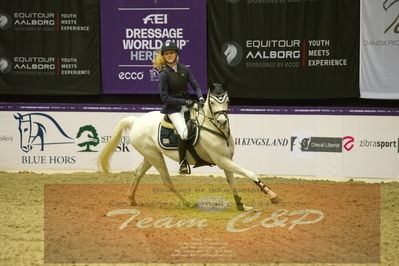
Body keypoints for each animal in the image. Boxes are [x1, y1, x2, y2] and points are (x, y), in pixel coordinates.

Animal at [98, 87, 280, 210]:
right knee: (167, 181)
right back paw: (187, 202)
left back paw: (131, 199)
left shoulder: (227, 161)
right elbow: (250, 173)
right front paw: (272, 195)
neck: (215, 129)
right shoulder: (222, 161)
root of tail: (136, 121)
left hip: (150, 155)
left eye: (227, 101)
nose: (222, 122)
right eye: (212, 102)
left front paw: (241, 206)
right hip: (155, 157)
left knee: (138, 173)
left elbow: (233, 183)